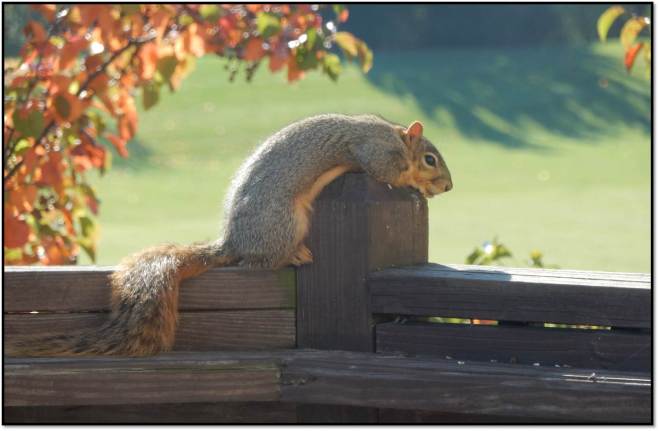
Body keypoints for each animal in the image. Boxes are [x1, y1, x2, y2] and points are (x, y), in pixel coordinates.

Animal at [8, 113, 452, 356]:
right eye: (430, 159)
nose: (447, 187)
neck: (395, 135)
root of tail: (233, 242)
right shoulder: (374, 152)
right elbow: (385, 173)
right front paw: (414, 187)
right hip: (284, 221)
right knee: (260, 260)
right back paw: (293, 255)